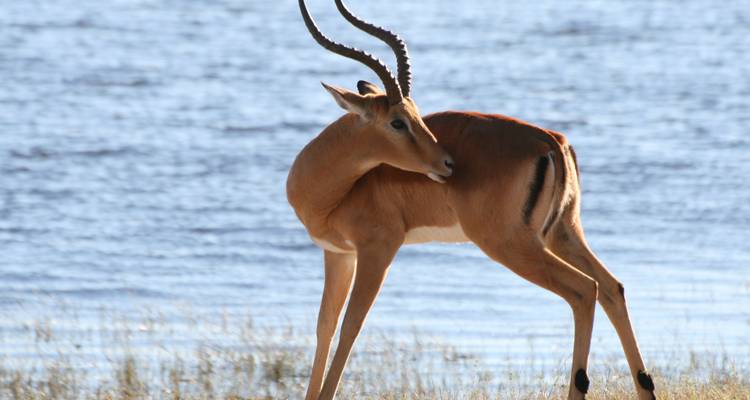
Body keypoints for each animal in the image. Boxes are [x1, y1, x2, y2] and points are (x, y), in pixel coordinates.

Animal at [287, 1, 657, 399]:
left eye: (413, 116)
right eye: (398, 121)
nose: (447, 163)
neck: (332, 188)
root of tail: (551, 141)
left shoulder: (379, 248)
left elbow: (351, 326)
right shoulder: (338, 253)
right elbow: (325, 326)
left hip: (510, 244)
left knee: (584, 289)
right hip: (562, 233)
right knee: (612, 288)